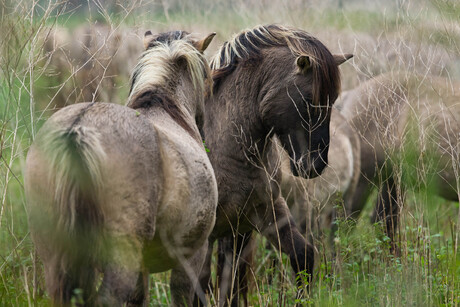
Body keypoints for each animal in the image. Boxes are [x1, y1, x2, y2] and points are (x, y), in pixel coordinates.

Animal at [24, 30, 218, 306]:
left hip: (54, 253)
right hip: (120, 256)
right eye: (207, 78)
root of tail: (78, 128)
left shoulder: (144, 266)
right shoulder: (192, 254)